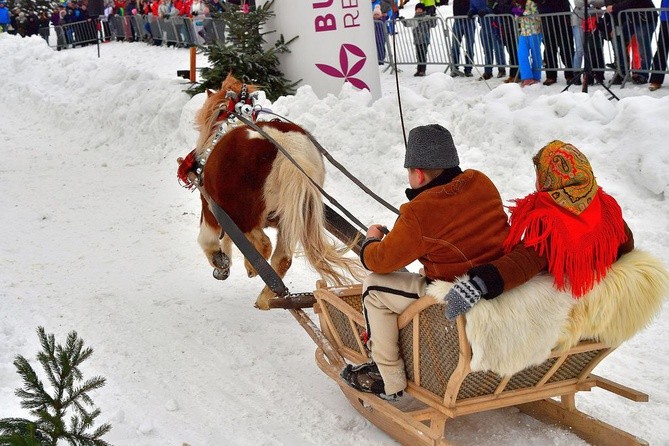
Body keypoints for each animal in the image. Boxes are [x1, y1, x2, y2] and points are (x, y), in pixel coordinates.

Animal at [181, 75, 360, 308]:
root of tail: (290, 150)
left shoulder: (211, 205)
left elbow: (209, 238)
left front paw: (220, 261)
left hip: (244, 214)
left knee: (264, 245)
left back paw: (255, 272)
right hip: (290, 217)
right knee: (281, 258)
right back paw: (266, 297)